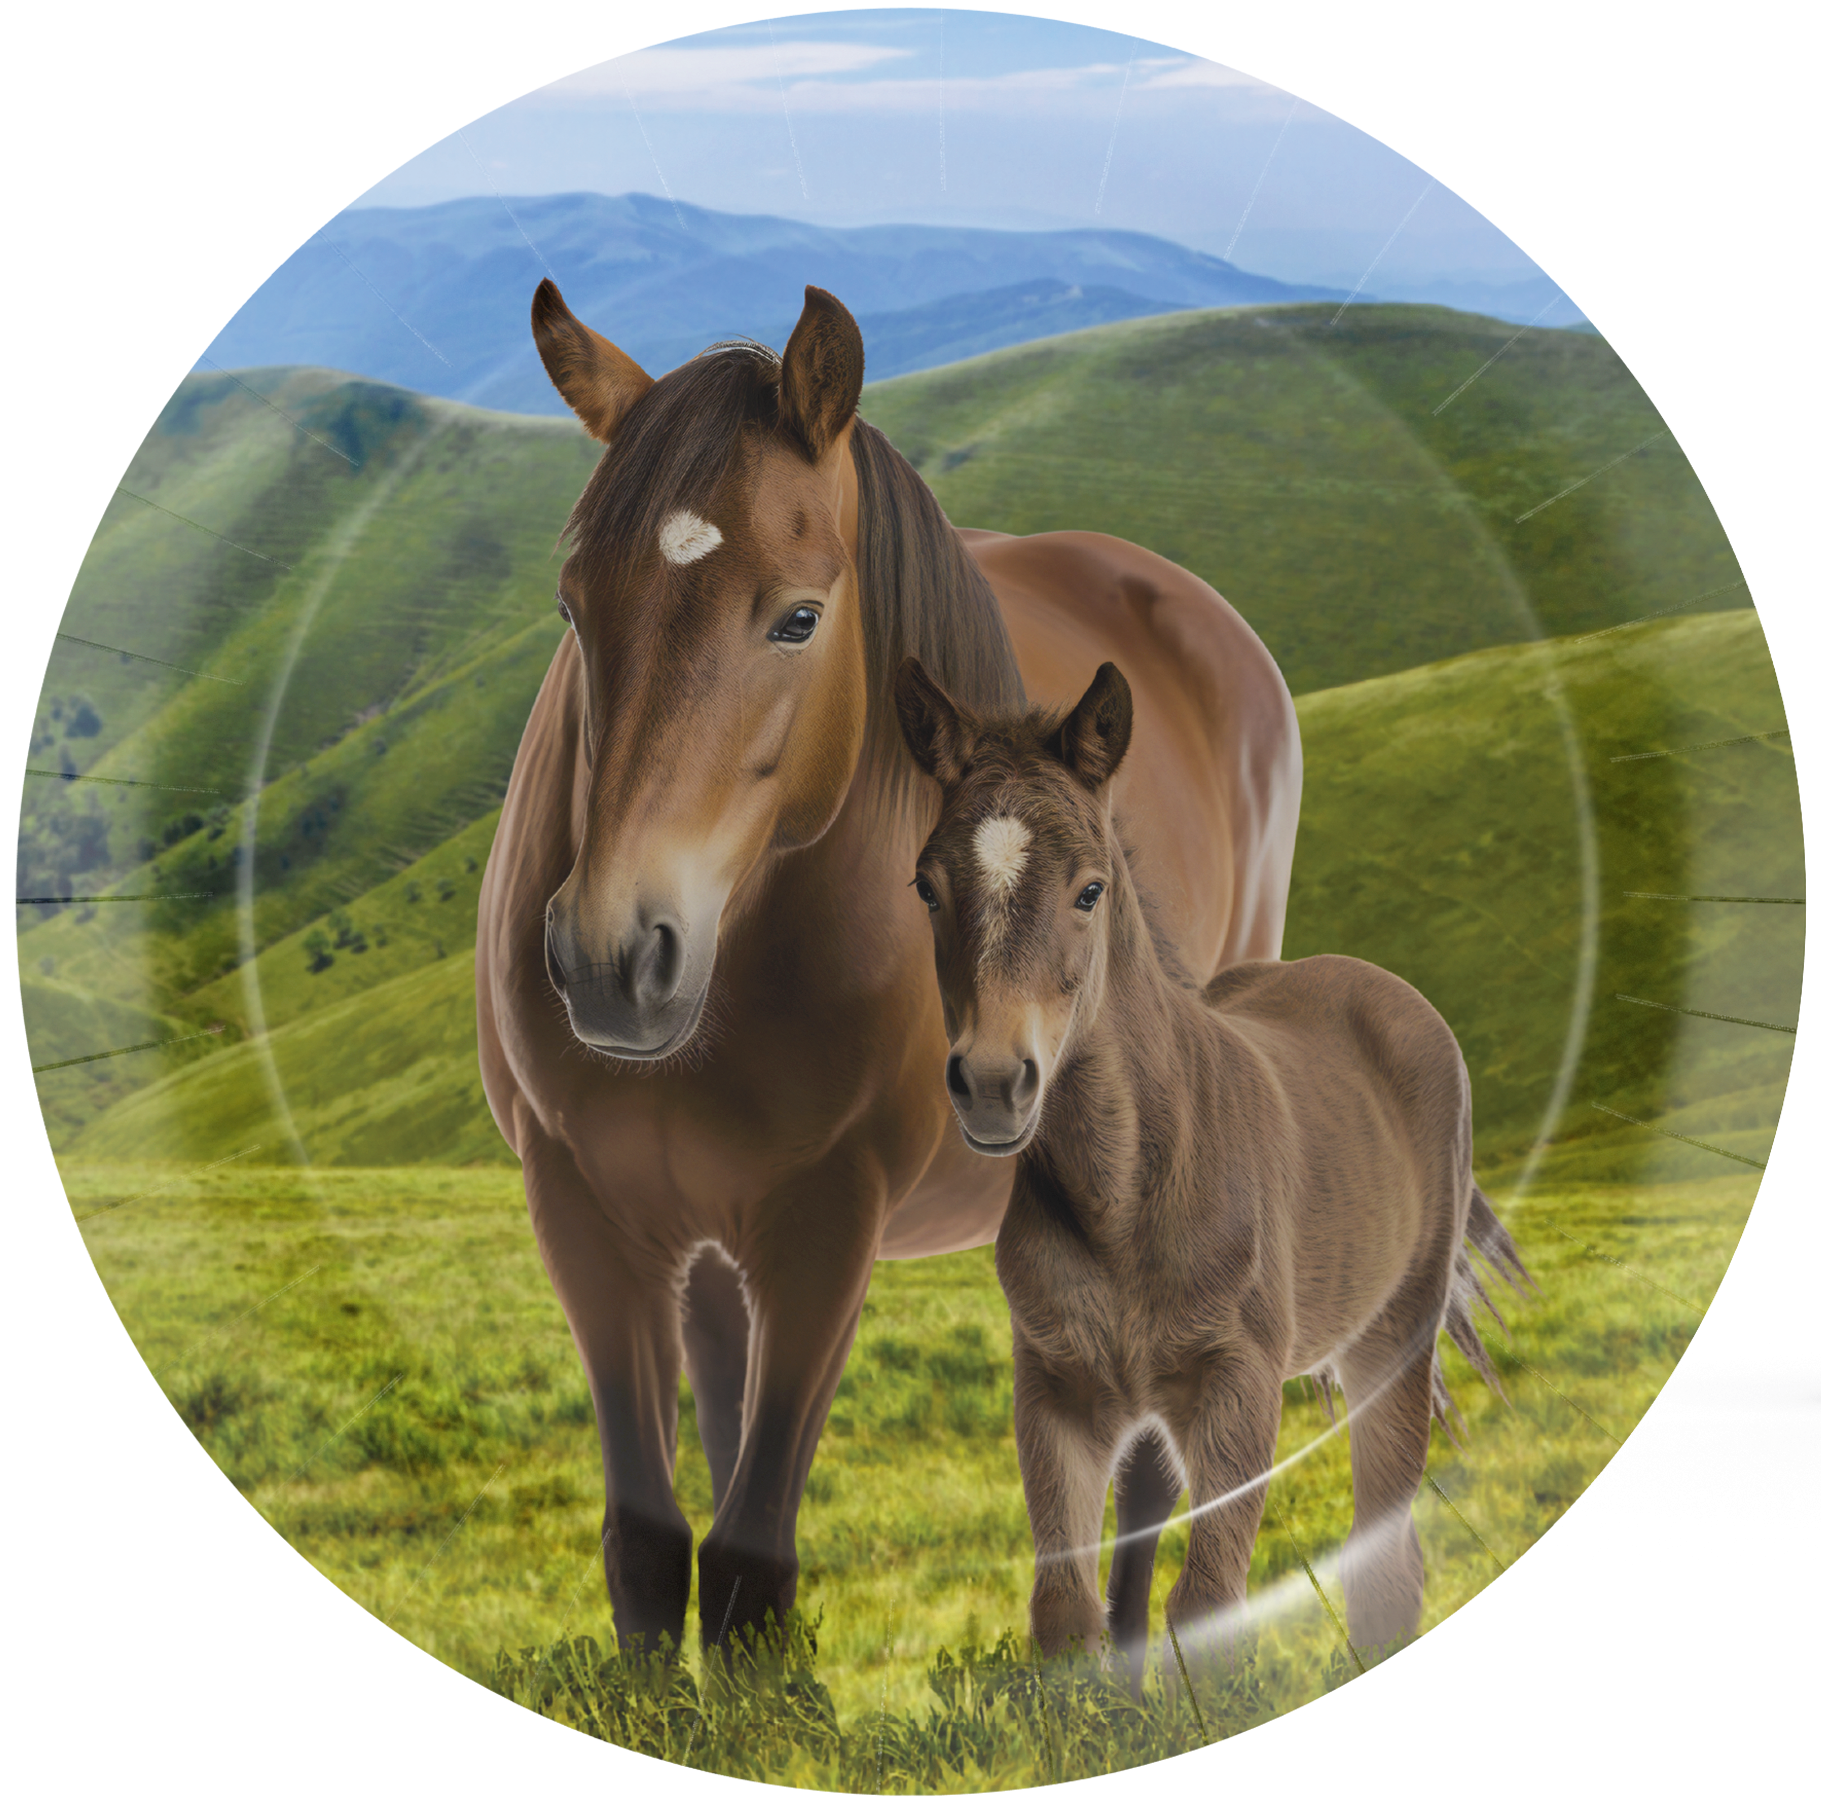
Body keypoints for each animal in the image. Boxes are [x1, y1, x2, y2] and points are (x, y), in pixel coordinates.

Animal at [475, 280, 1304, 1658]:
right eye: (573, 607)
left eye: (799, 616)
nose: (609, 959)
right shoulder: (586, 1207)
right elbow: (651, 1552)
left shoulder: (829, 1220)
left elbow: (746, 1565)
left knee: (1151, 1463)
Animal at [891, 656, 1532, 1685]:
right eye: (925, 885)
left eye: (1089, 891)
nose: (991, 1085)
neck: (1124, 1192)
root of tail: (1380, 987)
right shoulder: (1056, 1391)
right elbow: (1066, 1611)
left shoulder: (1239, 1384)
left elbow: (1210, 1606)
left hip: (1389, 1340)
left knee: (1385, 1560)